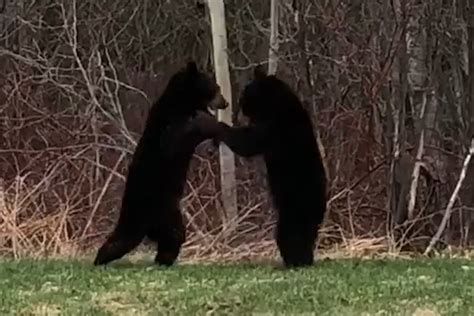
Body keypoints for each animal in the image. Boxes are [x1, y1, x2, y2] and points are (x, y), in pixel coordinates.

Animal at [94, 61, 228, 266]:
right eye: (217, 88)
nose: (225, 103)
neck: (182, 102)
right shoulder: (172, 124)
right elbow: (190, 131)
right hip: (162, 214)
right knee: (167, 235)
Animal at [198, 66, 328, 266]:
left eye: (245, 94)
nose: (239, 106)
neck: (275, 102)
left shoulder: (273, 126)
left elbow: (248, 142)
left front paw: (217, 127)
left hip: (295, 205)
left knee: (290, 233)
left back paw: (295, 259)